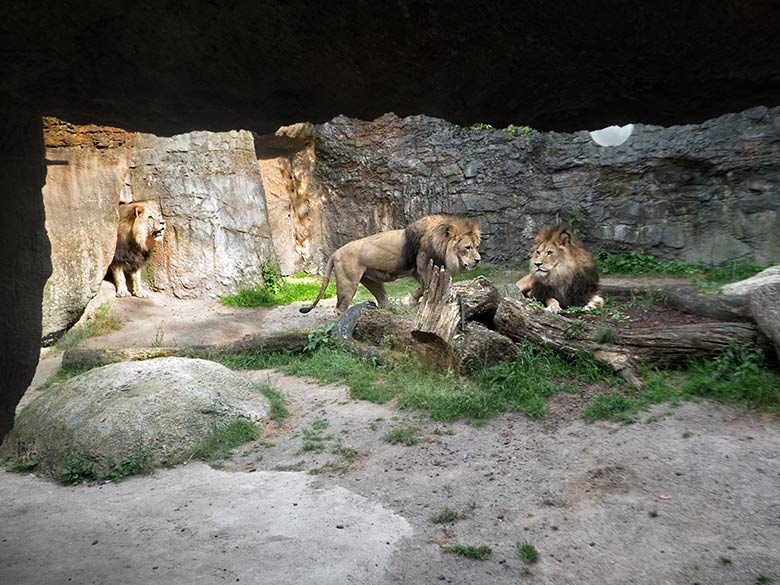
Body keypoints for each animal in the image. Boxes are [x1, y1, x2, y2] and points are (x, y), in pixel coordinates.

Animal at [300, 214, 478, 314]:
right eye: (467, 248)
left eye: (476, 246)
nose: (478, 260)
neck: (439, 242)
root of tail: (335, 252)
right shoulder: (423, 267)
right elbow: (427, 287)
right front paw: (416, 302)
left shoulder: (420, 271)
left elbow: (423, 288)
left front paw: (413, 300)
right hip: (347, 283)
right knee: (338, 309)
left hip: (371, 281)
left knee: (382, 300)